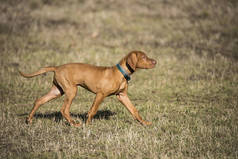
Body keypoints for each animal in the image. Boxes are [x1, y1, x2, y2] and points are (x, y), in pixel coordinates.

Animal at [20, 50, 156, 126]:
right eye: (143, 57)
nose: (155, 62)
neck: (121, 73)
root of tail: (57, 67)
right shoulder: (101, 94)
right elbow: (93, 110)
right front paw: (88, 125)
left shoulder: (122, 96)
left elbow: (134, 111)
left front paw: (144, 123)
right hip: (71, 91)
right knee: (64, 110)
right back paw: (74, 124)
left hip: (57, 91)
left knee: (39, 100)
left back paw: (29, 119)